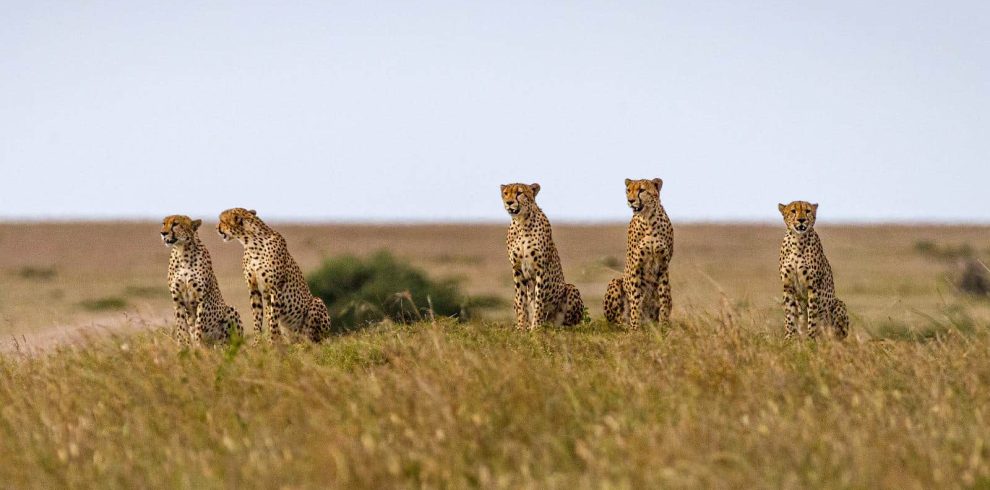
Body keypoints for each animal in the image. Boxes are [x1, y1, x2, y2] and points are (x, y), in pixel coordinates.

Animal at [161, 215, 243, 345]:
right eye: (163, 223)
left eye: (175, 224)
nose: (163, 233)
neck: (182, 251)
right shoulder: (177, 299)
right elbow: (181, 327)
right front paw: (183, 347)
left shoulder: (202, 299)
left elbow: (199, 326)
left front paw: (198, 346)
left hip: (230, 311)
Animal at [217, 208, 331, 343]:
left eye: (222, 221)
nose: (217, 228)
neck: (250, 242)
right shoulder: (253, 288)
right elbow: (257, 317)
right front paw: (257, 342)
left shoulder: (275, 288)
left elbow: (273, 318)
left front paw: (272, 341)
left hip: (316, 304)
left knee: (315, 339)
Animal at [501, 183, 584, 330]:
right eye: (506, 193)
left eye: (519, 193)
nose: (509, 202)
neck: (521, 222)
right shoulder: (517, 269)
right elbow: (521, 301)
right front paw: (522, 328)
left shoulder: (541, 269)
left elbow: (539, 300)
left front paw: (536, 328)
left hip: (570, 289)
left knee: (567, 324)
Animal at [603, 178, 674, 329]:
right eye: (628, 190)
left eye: (641, 190)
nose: (630, 200)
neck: (648, 219)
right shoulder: (636, 266)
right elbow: (636, 299)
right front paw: (635, 327)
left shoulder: (664, 266)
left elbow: (664, 297)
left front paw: (664, 325)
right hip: (615, 282)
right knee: (616, 320)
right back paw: (627, 324)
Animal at [778, 201, 849, 339]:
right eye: (793, 211)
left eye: (807, 211)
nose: (801, 220)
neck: (797, 240)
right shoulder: (788, 285)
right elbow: (789, 315)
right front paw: (789, 337)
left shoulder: (813, 286)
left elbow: (812, 314)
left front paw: (811, 338)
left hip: (838, 305)